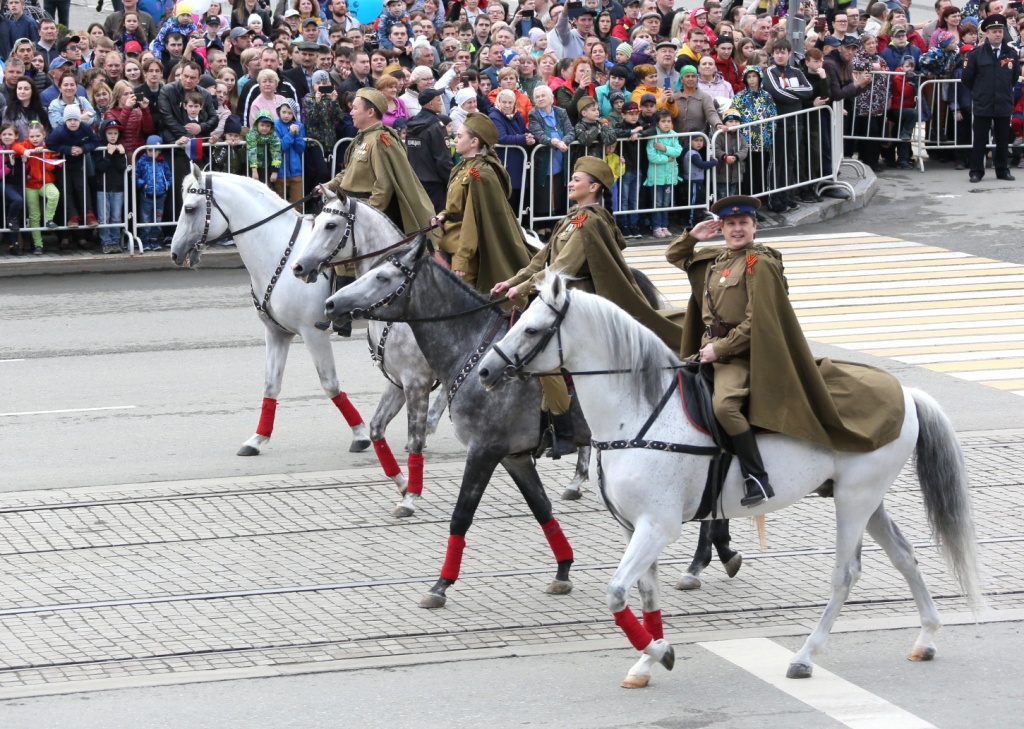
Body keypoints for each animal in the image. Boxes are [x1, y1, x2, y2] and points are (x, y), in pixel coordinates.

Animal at [166, 166, 399, 479]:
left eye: (189, 208)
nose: (175, 253)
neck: (280, 254)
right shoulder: (276, 333)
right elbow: (270, 385)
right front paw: (257, 439)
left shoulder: (314, 334)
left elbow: (330, 384)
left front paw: (360, 434)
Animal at [479, 272, 983, 688]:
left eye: (531, 329)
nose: (485, 370)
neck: (638, 414)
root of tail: (906, 393)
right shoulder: (633, 527)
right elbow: (644, 594)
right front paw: (648, 659)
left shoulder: (657, 527)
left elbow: (617, 591)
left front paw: (659, 651)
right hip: (867, 500)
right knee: (905, 556)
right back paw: (927, 637)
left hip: (854, 501)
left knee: (846, 574)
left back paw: (805, 655)